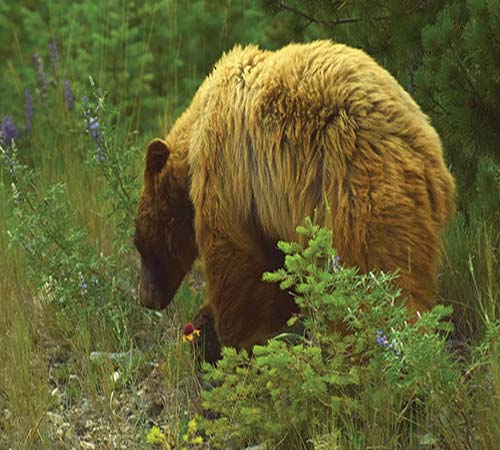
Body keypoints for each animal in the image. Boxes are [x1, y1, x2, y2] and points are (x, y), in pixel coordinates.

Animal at [135, 39, 456, 352]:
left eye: (139, 244)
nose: (145, 299)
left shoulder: (229, 177)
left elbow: (237, 265)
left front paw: (233, 339)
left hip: (351, 191)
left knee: (371, 276)